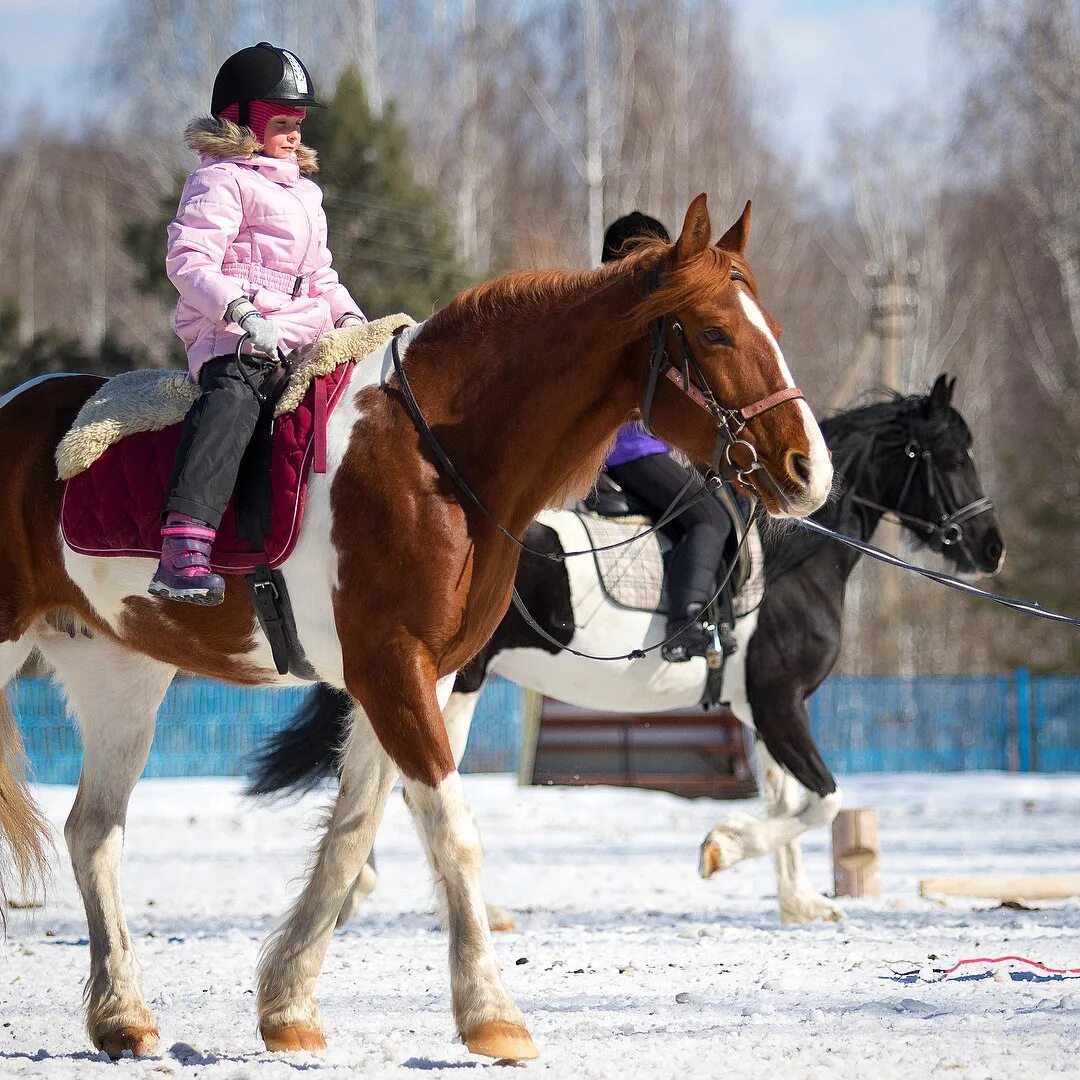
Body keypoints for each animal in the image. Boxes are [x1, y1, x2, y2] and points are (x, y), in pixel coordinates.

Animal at [0, 196, 829, 1062]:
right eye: (715, 333)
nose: (809, 469)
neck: (436, 461)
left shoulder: (410, 678)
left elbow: (352, 833)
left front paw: (289, 1004)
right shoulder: (394, 669)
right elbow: (451, 832)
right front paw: (492, 1015)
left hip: (121, 674)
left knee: (94, 832)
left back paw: (121, 1016)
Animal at [250, 375, 1002, 924]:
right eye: (949, 456)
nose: (992, 549)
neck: (795, 558)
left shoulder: (761, 707)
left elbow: (788, 799)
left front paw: (800, 904)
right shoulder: (780, 700)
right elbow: (821, 801)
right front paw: (721, 849)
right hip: (455, 680)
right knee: (415, 787)